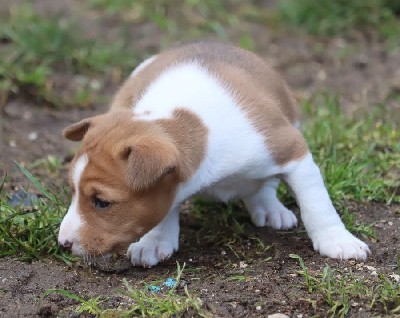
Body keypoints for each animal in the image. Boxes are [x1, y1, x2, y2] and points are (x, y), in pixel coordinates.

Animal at [57, 41, 370, 266]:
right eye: (73, 192)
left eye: (101, 202)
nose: (63, 243)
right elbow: (167, 206)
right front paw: (154, 240)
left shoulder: (292, 151)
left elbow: (317, 205)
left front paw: (336, 240)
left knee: (264, 186)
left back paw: (269, 208)